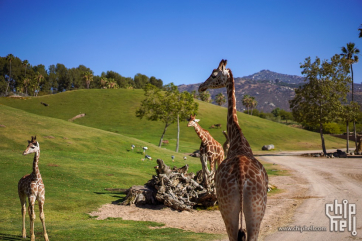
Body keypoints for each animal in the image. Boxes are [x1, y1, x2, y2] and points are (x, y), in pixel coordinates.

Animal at [198, 59, 268, 240]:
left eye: (214, 74)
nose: (201, 86)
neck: (238, 140)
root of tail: (242, 179)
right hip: (256, 210)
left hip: (227, 208)